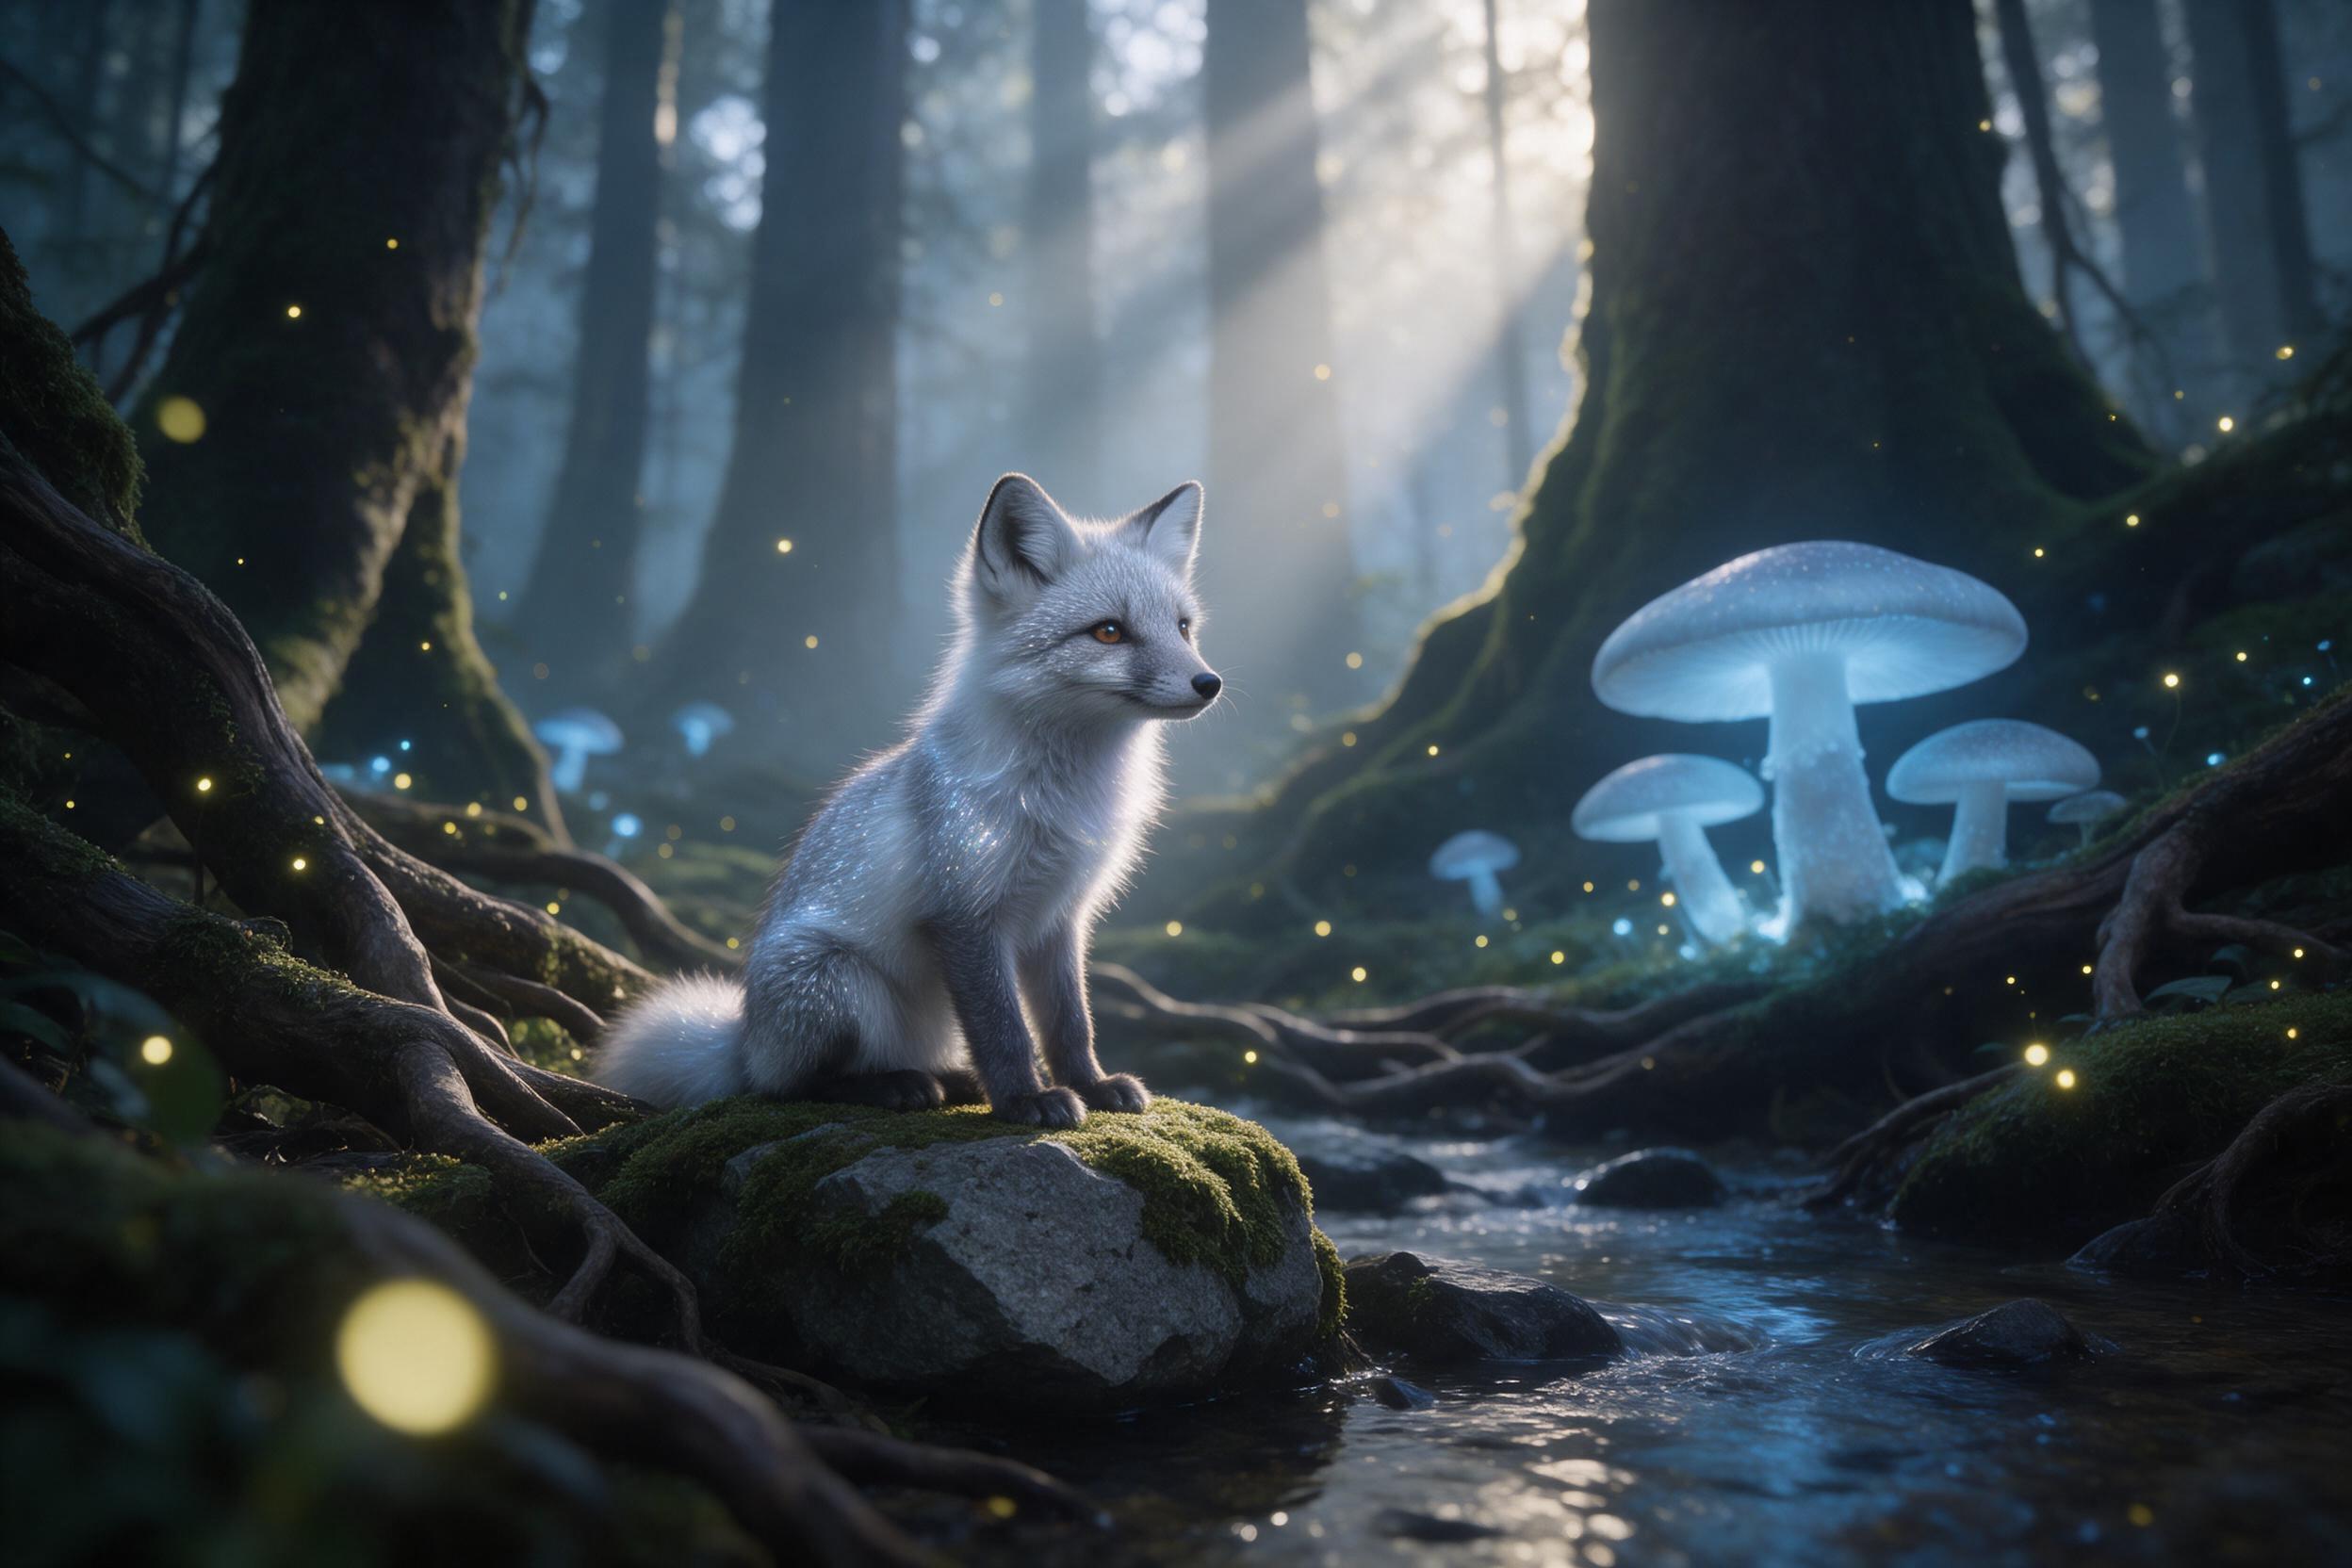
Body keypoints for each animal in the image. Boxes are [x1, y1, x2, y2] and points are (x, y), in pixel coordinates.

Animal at [595, 472, 1221, 1128]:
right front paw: (1024, 1100)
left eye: (1182, 627)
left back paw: (952, 1079)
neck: (1062, 795)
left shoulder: (1061, 918)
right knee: (788, 1086)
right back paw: (894, 1087)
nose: (1210, 683)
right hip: (834, 984)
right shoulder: (964, 912)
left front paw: (1091, 1086)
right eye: (1109, 631)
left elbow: (1069, 1023)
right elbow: (1004, 1029)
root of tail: (744, 1040)